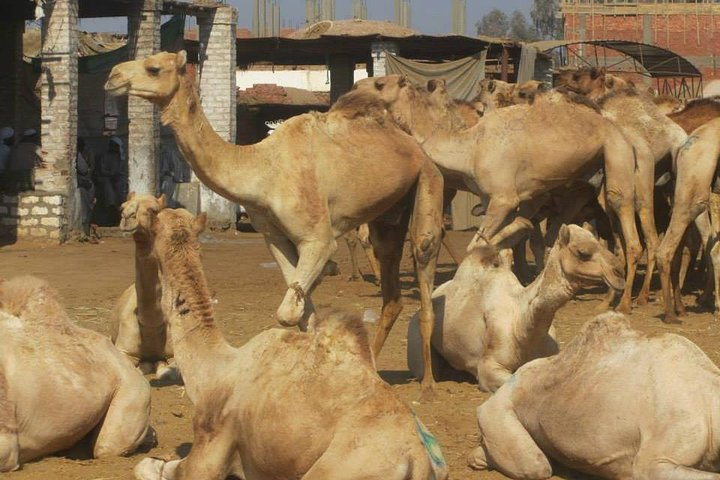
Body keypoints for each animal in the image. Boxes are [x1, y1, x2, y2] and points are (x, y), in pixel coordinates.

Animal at [112, 192, 178, 380]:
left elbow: (169, 371)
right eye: (122, 206)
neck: (151, 323)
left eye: (153, 210)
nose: (127, 217)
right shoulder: (124, 350)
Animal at [131, 206, 449, 480]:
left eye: (150, 230)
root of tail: (418, 459)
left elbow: (147, 466)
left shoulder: (210, 449)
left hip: (331, 471)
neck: (214, 370)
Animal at [355, 74, 642, 313]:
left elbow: (478, 243)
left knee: (625, 219)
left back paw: (622, 302)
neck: (469, 148)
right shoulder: (490, 198)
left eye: (379, 83)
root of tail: (612, 124)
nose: (355, 87)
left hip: (615, 150)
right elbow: (505, 242)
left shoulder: (504, 198)